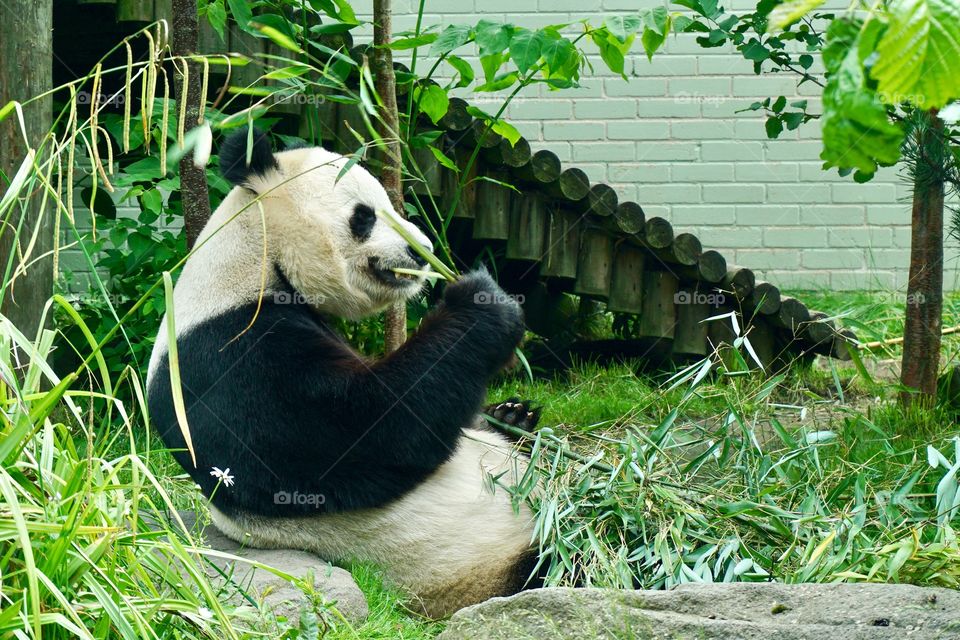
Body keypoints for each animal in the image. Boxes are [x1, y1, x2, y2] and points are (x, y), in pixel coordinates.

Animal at [146, 127, 543, 618]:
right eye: (364, 216)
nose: (423, 252)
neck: (256, 258)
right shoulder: (229, 357)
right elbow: (371, 428)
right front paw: (484, 302)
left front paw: (511, 412)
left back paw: (514, 419)